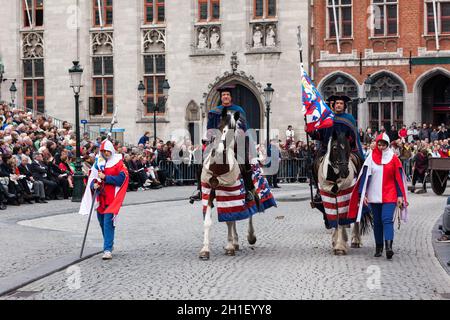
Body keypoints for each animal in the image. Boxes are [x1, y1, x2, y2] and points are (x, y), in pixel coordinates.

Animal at [199, 107, 258, 260]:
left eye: (232, 130)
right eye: (219, 127)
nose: (218, 150)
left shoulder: (230, 193)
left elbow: (230, 220)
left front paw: (230, 246)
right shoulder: (209, 193)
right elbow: (208, 221)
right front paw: (205, 249)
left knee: (248, 212)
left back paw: (249, 237)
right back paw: (235, 242)